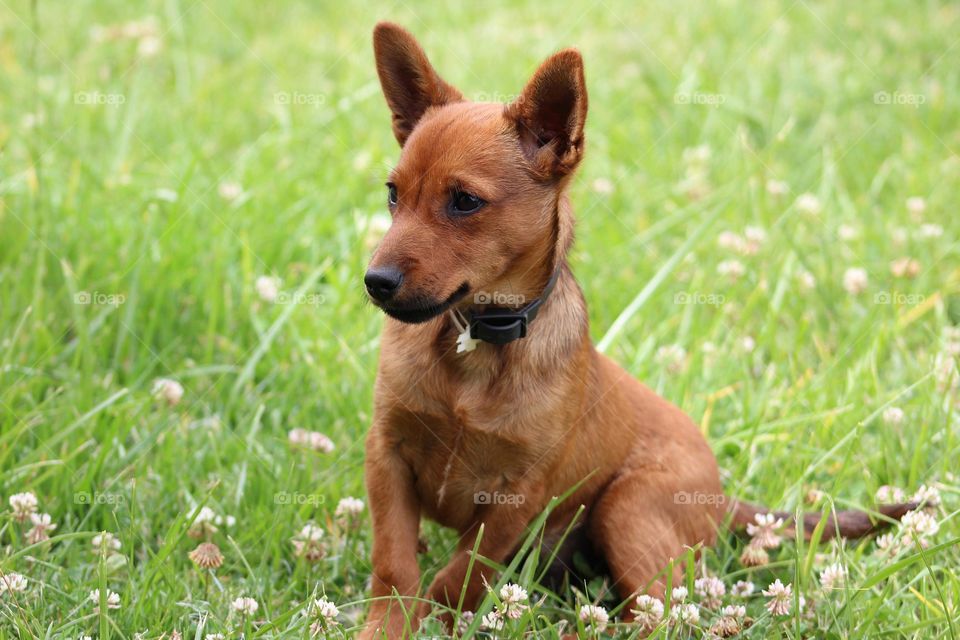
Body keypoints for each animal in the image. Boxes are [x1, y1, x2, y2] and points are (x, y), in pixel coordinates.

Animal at [358, 22, 908, 636]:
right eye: (393, 194)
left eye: (465, 202)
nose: (375, 282)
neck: (474, 345)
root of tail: (720, 496)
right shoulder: (387, 455)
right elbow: (395, 566)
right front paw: (388, 624)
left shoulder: (517, 497)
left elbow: (461, 576)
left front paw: (438, 618)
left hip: (628, 507)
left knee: (661, 611)